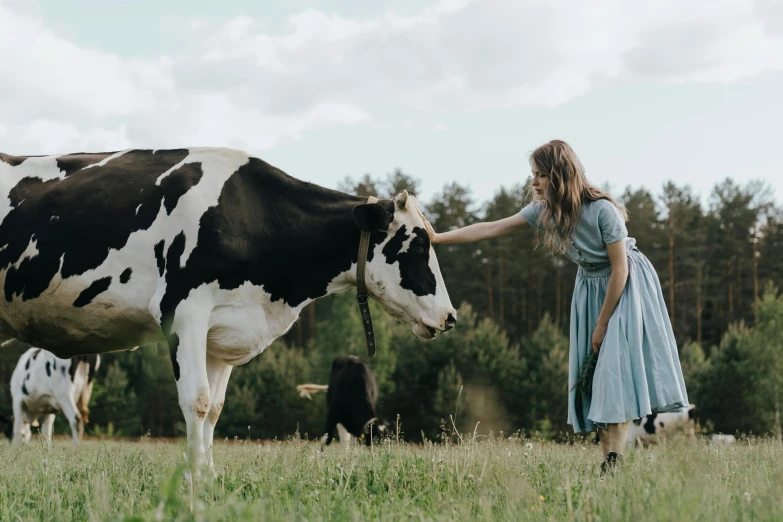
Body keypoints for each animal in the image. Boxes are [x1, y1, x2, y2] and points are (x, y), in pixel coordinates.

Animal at [0, 147, 456, 472]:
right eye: (417, 245)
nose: (450, 317)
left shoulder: (223, 331)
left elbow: (215, 410)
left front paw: (209, 476)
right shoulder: (183, 313)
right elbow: (197, 401)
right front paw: (195, 478)